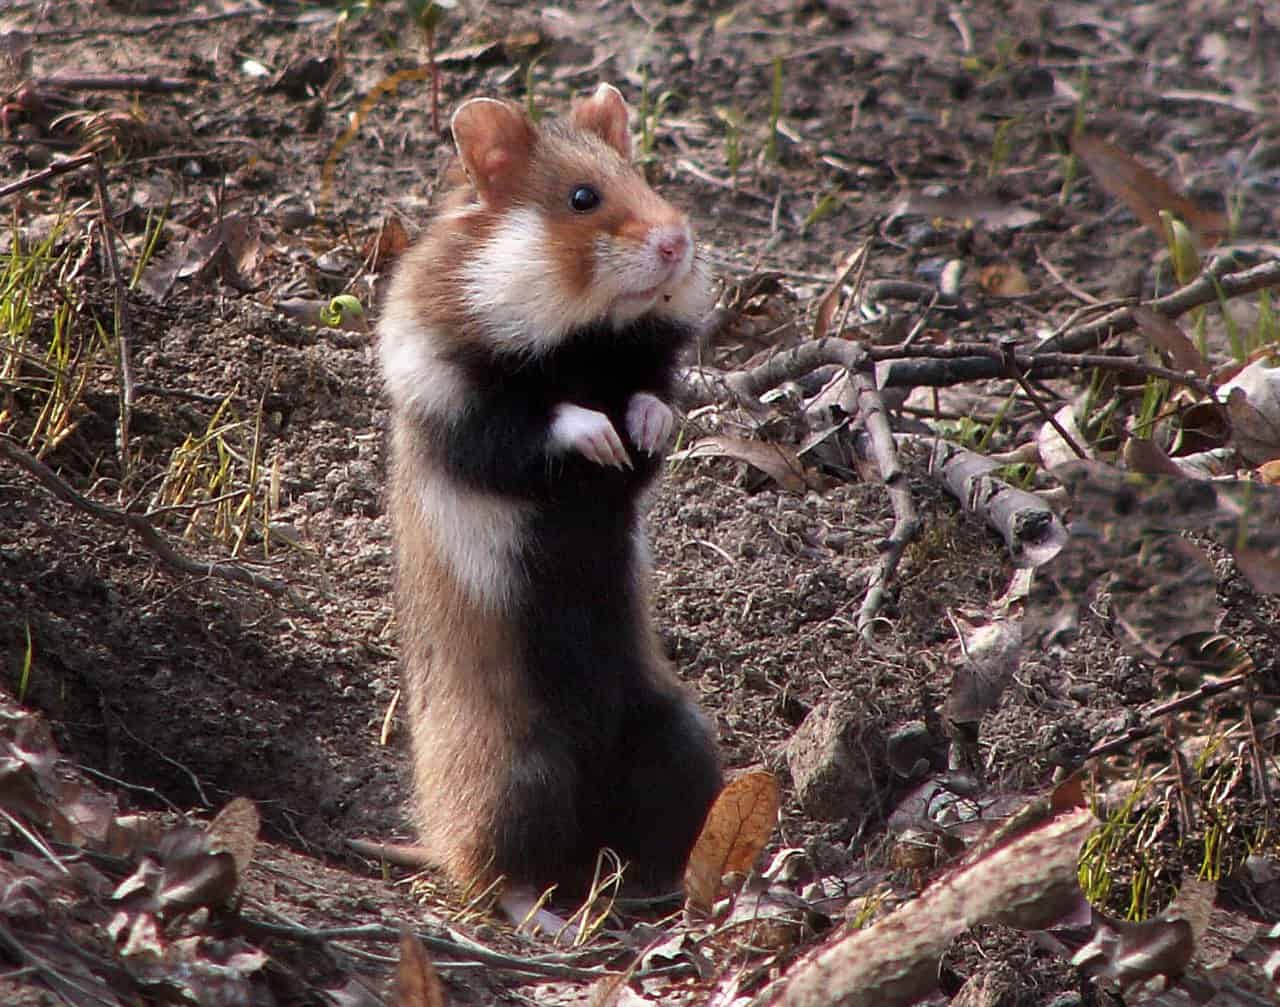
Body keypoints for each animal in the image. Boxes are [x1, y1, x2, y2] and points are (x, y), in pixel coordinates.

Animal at [376, 83, 723, 928]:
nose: (678, 242)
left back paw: (668, 892)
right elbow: (542, 421)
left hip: (678, 737)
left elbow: (651, 406)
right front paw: (598, 434)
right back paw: (553, 920)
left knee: (649, 836)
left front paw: (642, 425)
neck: (581, 334)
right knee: (497, 874)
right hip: (517, 774)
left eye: (643, 175)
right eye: (581, 198)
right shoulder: (459, 409)